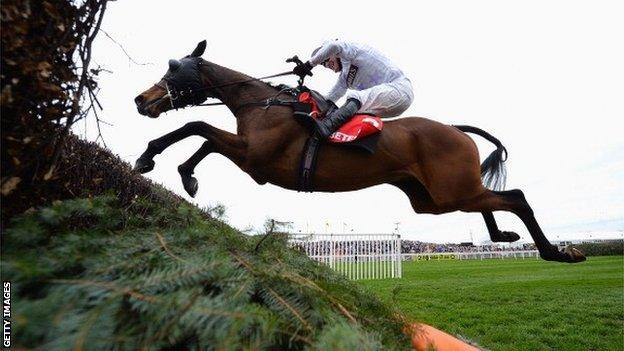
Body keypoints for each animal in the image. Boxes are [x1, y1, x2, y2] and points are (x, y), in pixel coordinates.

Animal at [132, 39, 584, 264]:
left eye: (174, 69)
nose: (141, 100)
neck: (262, 103)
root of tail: (456, 130)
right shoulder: (250, 155)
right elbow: (202, 135)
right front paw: (182, 172)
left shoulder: (255, 159)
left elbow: (197, 128)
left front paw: (151, 158)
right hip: (436, 198)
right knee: (489, 201)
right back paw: (503, 235)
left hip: (448, 191)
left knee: (516, 198)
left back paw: (556, 253)